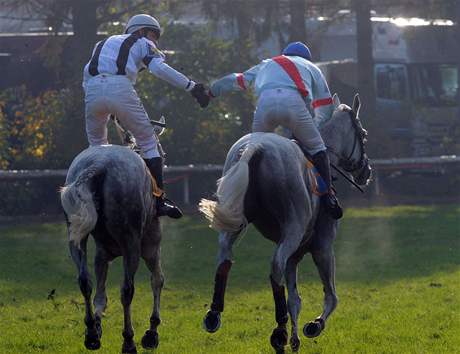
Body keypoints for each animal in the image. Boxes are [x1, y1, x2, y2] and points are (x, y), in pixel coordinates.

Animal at [60, 145, 163, 352]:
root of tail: (99, 164)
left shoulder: (102, 254)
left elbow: (100, 294)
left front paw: (96, 327)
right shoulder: (151, 246)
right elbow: (157, 280)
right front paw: (151, 333)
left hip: (76, 238)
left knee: (84, 281)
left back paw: (91, 333)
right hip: (132, 244)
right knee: (127, 290)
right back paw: (128, 341)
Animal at [199, 94, 372, 352]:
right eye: (363, 134)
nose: (366, 171)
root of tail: (256, 148)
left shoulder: (295, 255)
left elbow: (295, 301)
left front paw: (294, 341)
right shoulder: (322, 246)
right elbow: (331, 296)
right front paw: (314, 326)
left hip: (237, 221)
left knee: (225, 258)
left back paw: (214, 314)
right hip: (293, 229)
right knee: (275, 268)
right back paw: (279, 329)